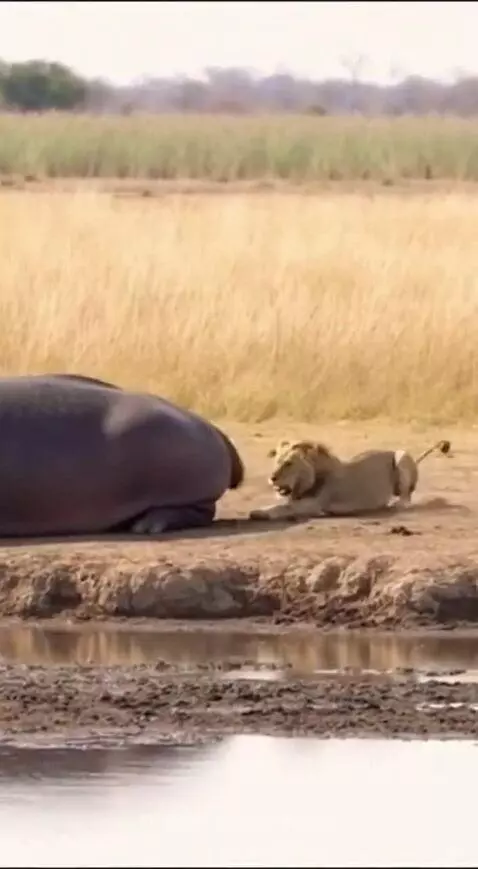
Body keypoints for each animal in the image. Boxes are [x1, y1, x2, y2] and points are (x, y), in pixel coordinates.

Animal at [249, 438, 451, 521]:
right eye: (276, 461)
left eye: (289, 463)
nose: (272, 478)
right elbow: (284, 503)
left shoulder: (314, 504)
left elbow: (284, 506)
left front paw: (259, 512)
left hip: (401, 454)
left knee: (406, 497)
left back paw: (396, 504)